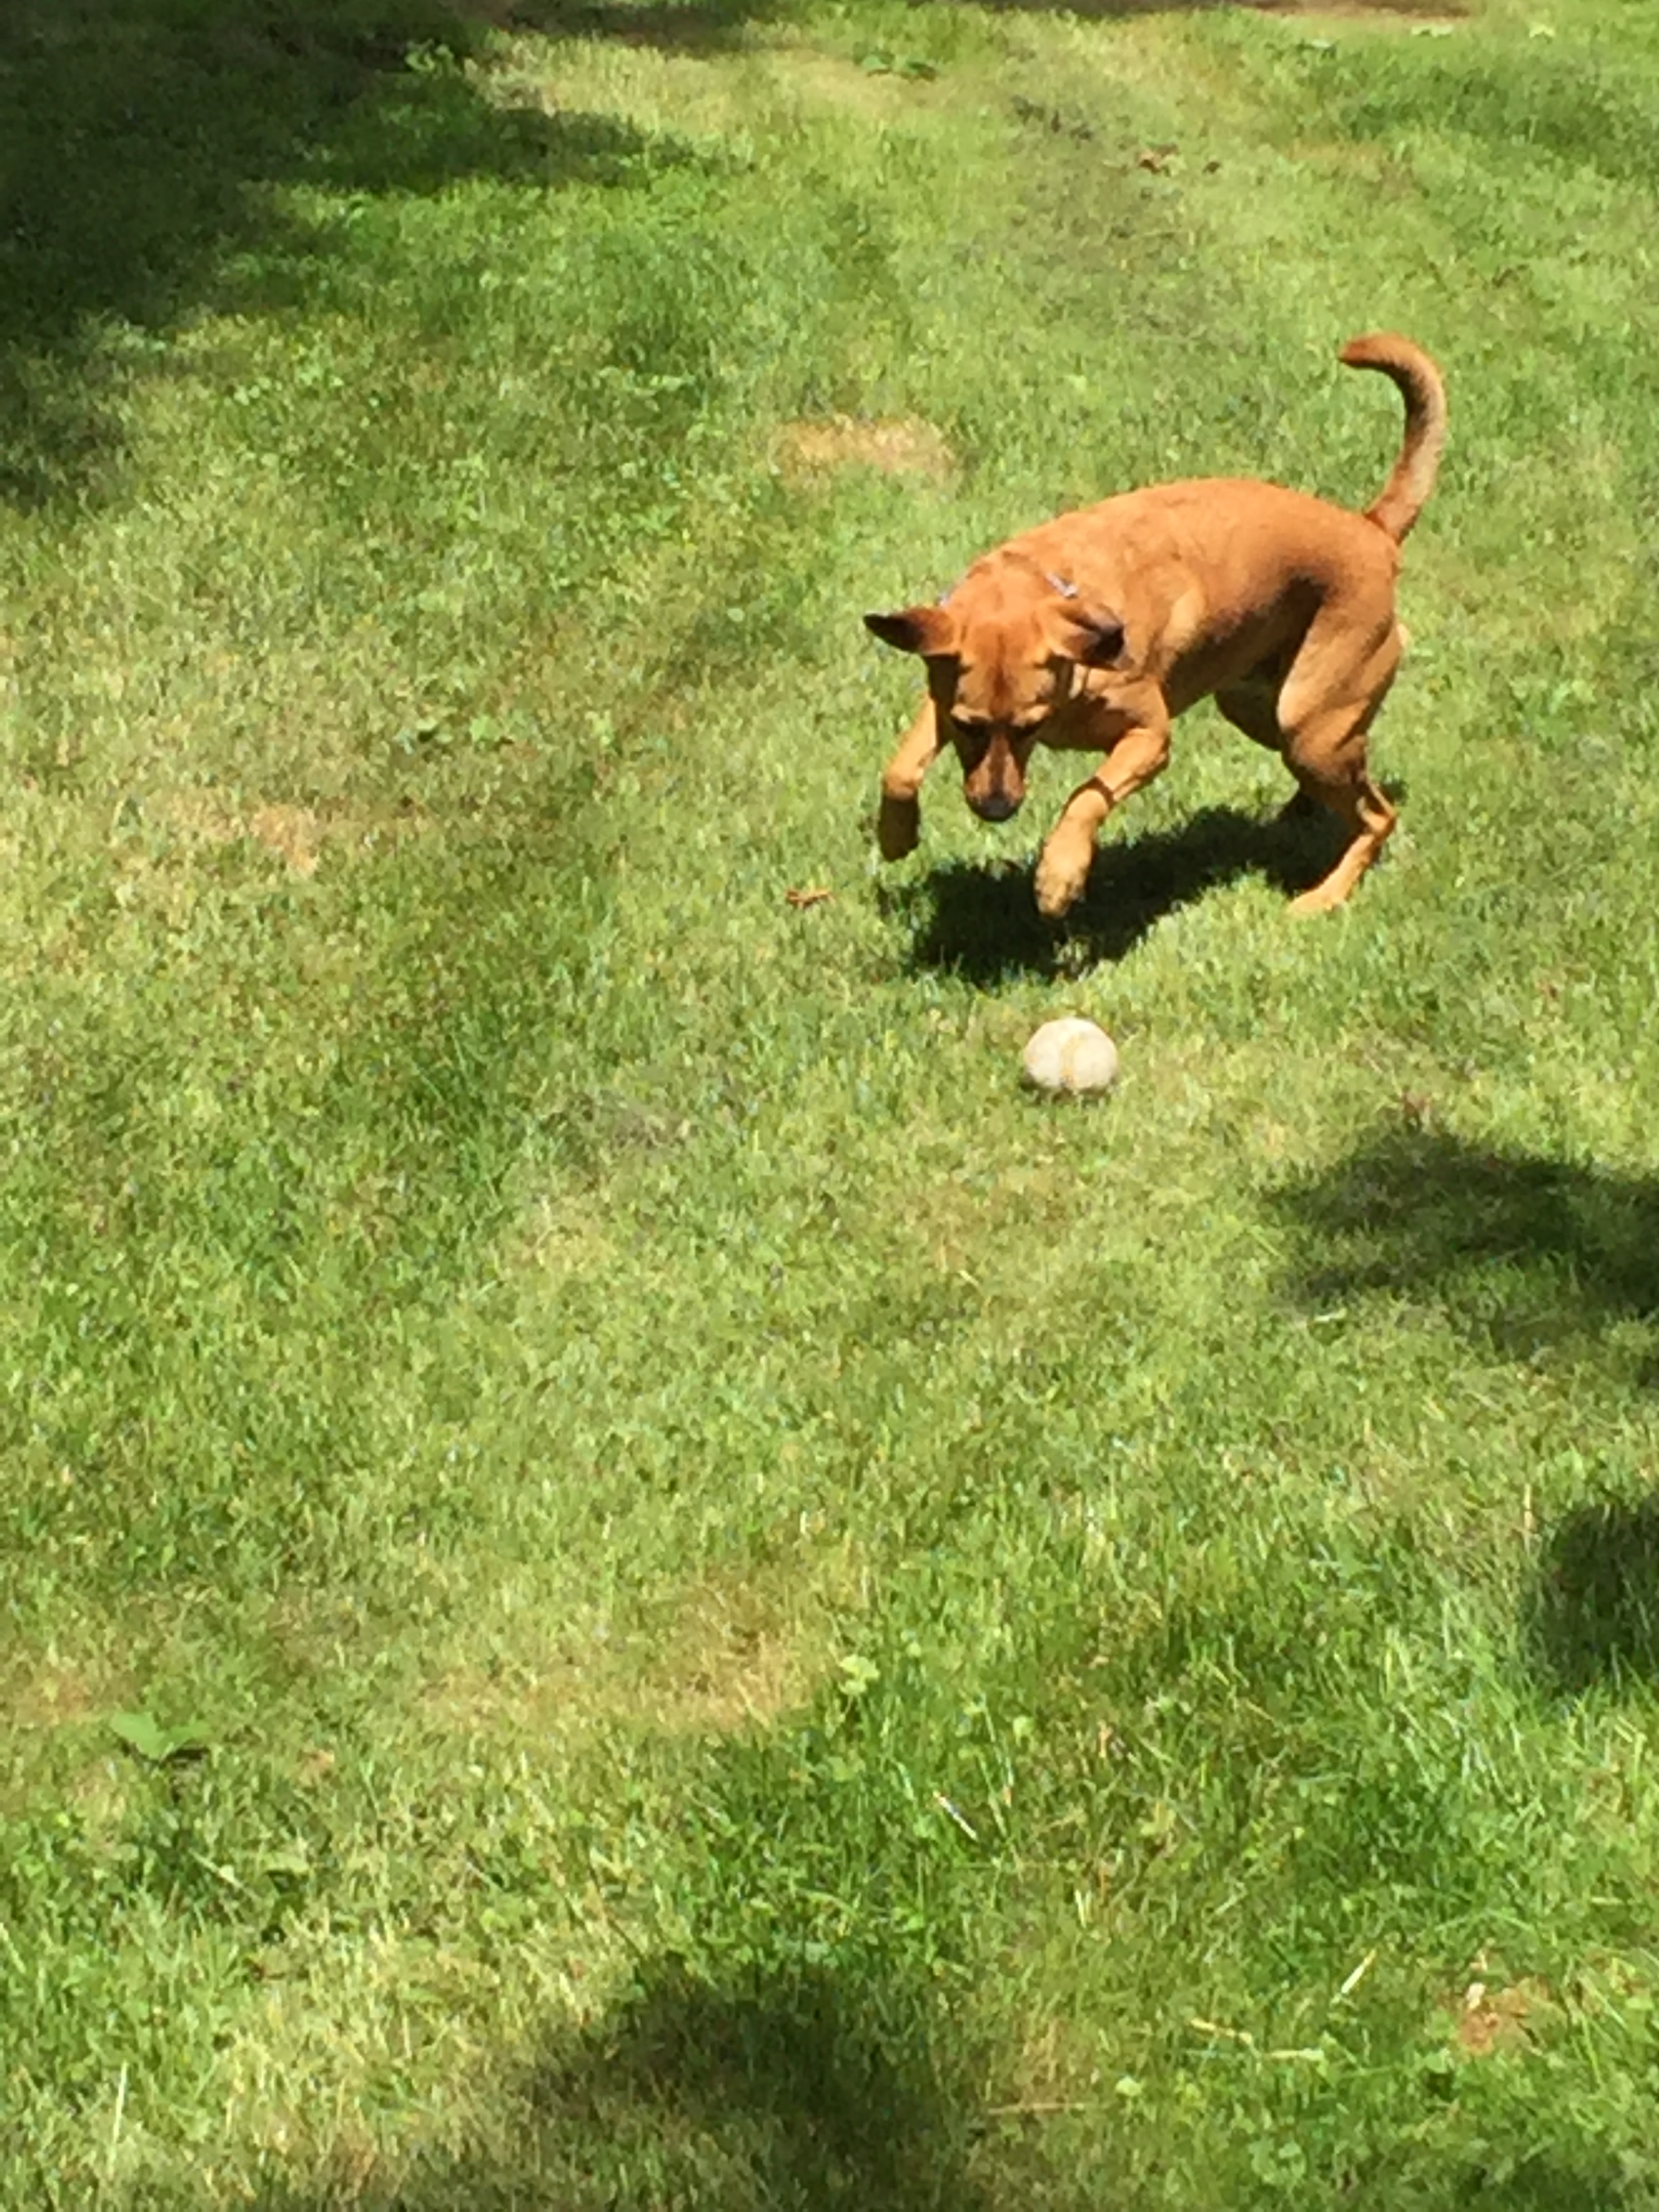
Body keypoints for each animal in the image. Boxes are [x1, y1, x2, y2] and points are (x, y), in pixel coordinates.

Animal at [862, 329, 1451, 916]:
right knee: (1351, 782)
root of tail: (1371, 531)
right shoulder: (940, 691)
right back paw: (1299, 815)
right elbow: (900, 768)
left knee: (1378, 816)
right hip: (1260, 709)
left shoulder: (1149, 738)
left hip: (1310, 725)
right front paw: (896, 836)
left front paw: (1059, 877)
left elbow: (1086, 796)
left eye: (1031, 726)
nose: (996, 808)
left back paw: (1324, 896)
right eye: (969, 726)